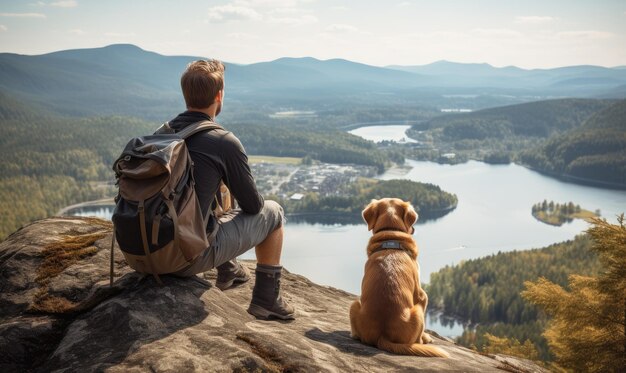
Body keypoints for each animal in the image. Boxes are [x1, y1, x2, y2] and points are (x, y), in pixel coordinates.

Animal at [348, 198, 446, 358]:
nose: (413, 229)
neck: (391, 237)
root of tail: (382, 335)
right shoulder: (422, 295)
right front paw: (426, 337)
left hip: (355, 304)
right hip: (417, 311)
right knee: (416, 340)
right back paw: (422, 340)